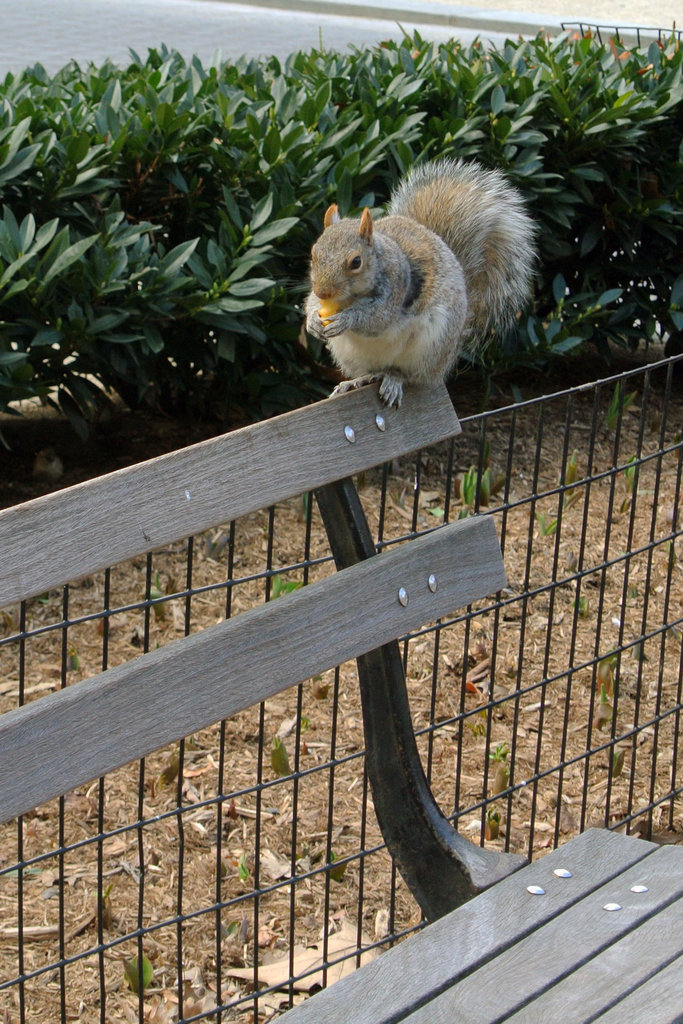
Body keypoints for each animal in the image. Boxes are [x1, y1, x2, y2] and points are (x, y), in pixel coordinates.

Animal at [307, 155, 536, 403]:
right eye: (313, 253)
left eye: (356, 262)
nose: (323, 292)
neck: (350, 298)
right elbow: (310, 303)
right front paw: (312, 321)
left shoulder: (396, 289)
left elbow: (377, 318)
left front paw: (347, 319)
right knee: (374, 371)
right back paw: (357, 381)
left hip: (430, 347)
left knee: (410, 375)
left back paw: (394, 379)